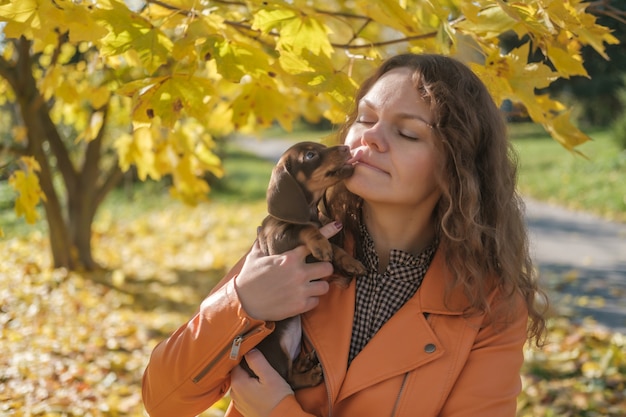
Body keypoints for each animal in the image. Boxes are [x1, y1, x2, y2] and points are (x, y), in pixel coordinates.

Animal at [240, 141, 366, 388]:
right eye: (310, 155)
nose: (346, 148)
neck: (308, 212)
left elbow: (335, 247)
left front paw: (350, 261)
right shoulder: (278, 239)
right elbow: (306, 229)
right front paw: (320, 244)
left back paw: (304, 364)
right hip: (274, 351)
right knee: (287, 380)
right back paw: (310, 375)